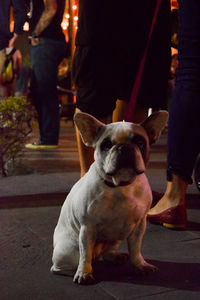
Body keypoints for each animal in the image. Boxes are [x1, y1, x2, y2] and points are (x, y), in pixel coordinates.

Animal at [50, 111, 168, 284]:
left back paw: (114, 256)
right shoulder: (88, 228)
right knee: (67, 263)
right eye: (106, 145)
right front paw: (84, 273)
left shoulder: (139, 225)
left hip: (116, 238)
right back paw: (75, 270)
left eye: (140, 142)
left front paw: (140, 265)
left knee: (106, 253)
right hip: (69, 251)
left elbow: (136, 248)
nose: (124, 147)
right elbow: (85, 254)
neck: (120, 186)